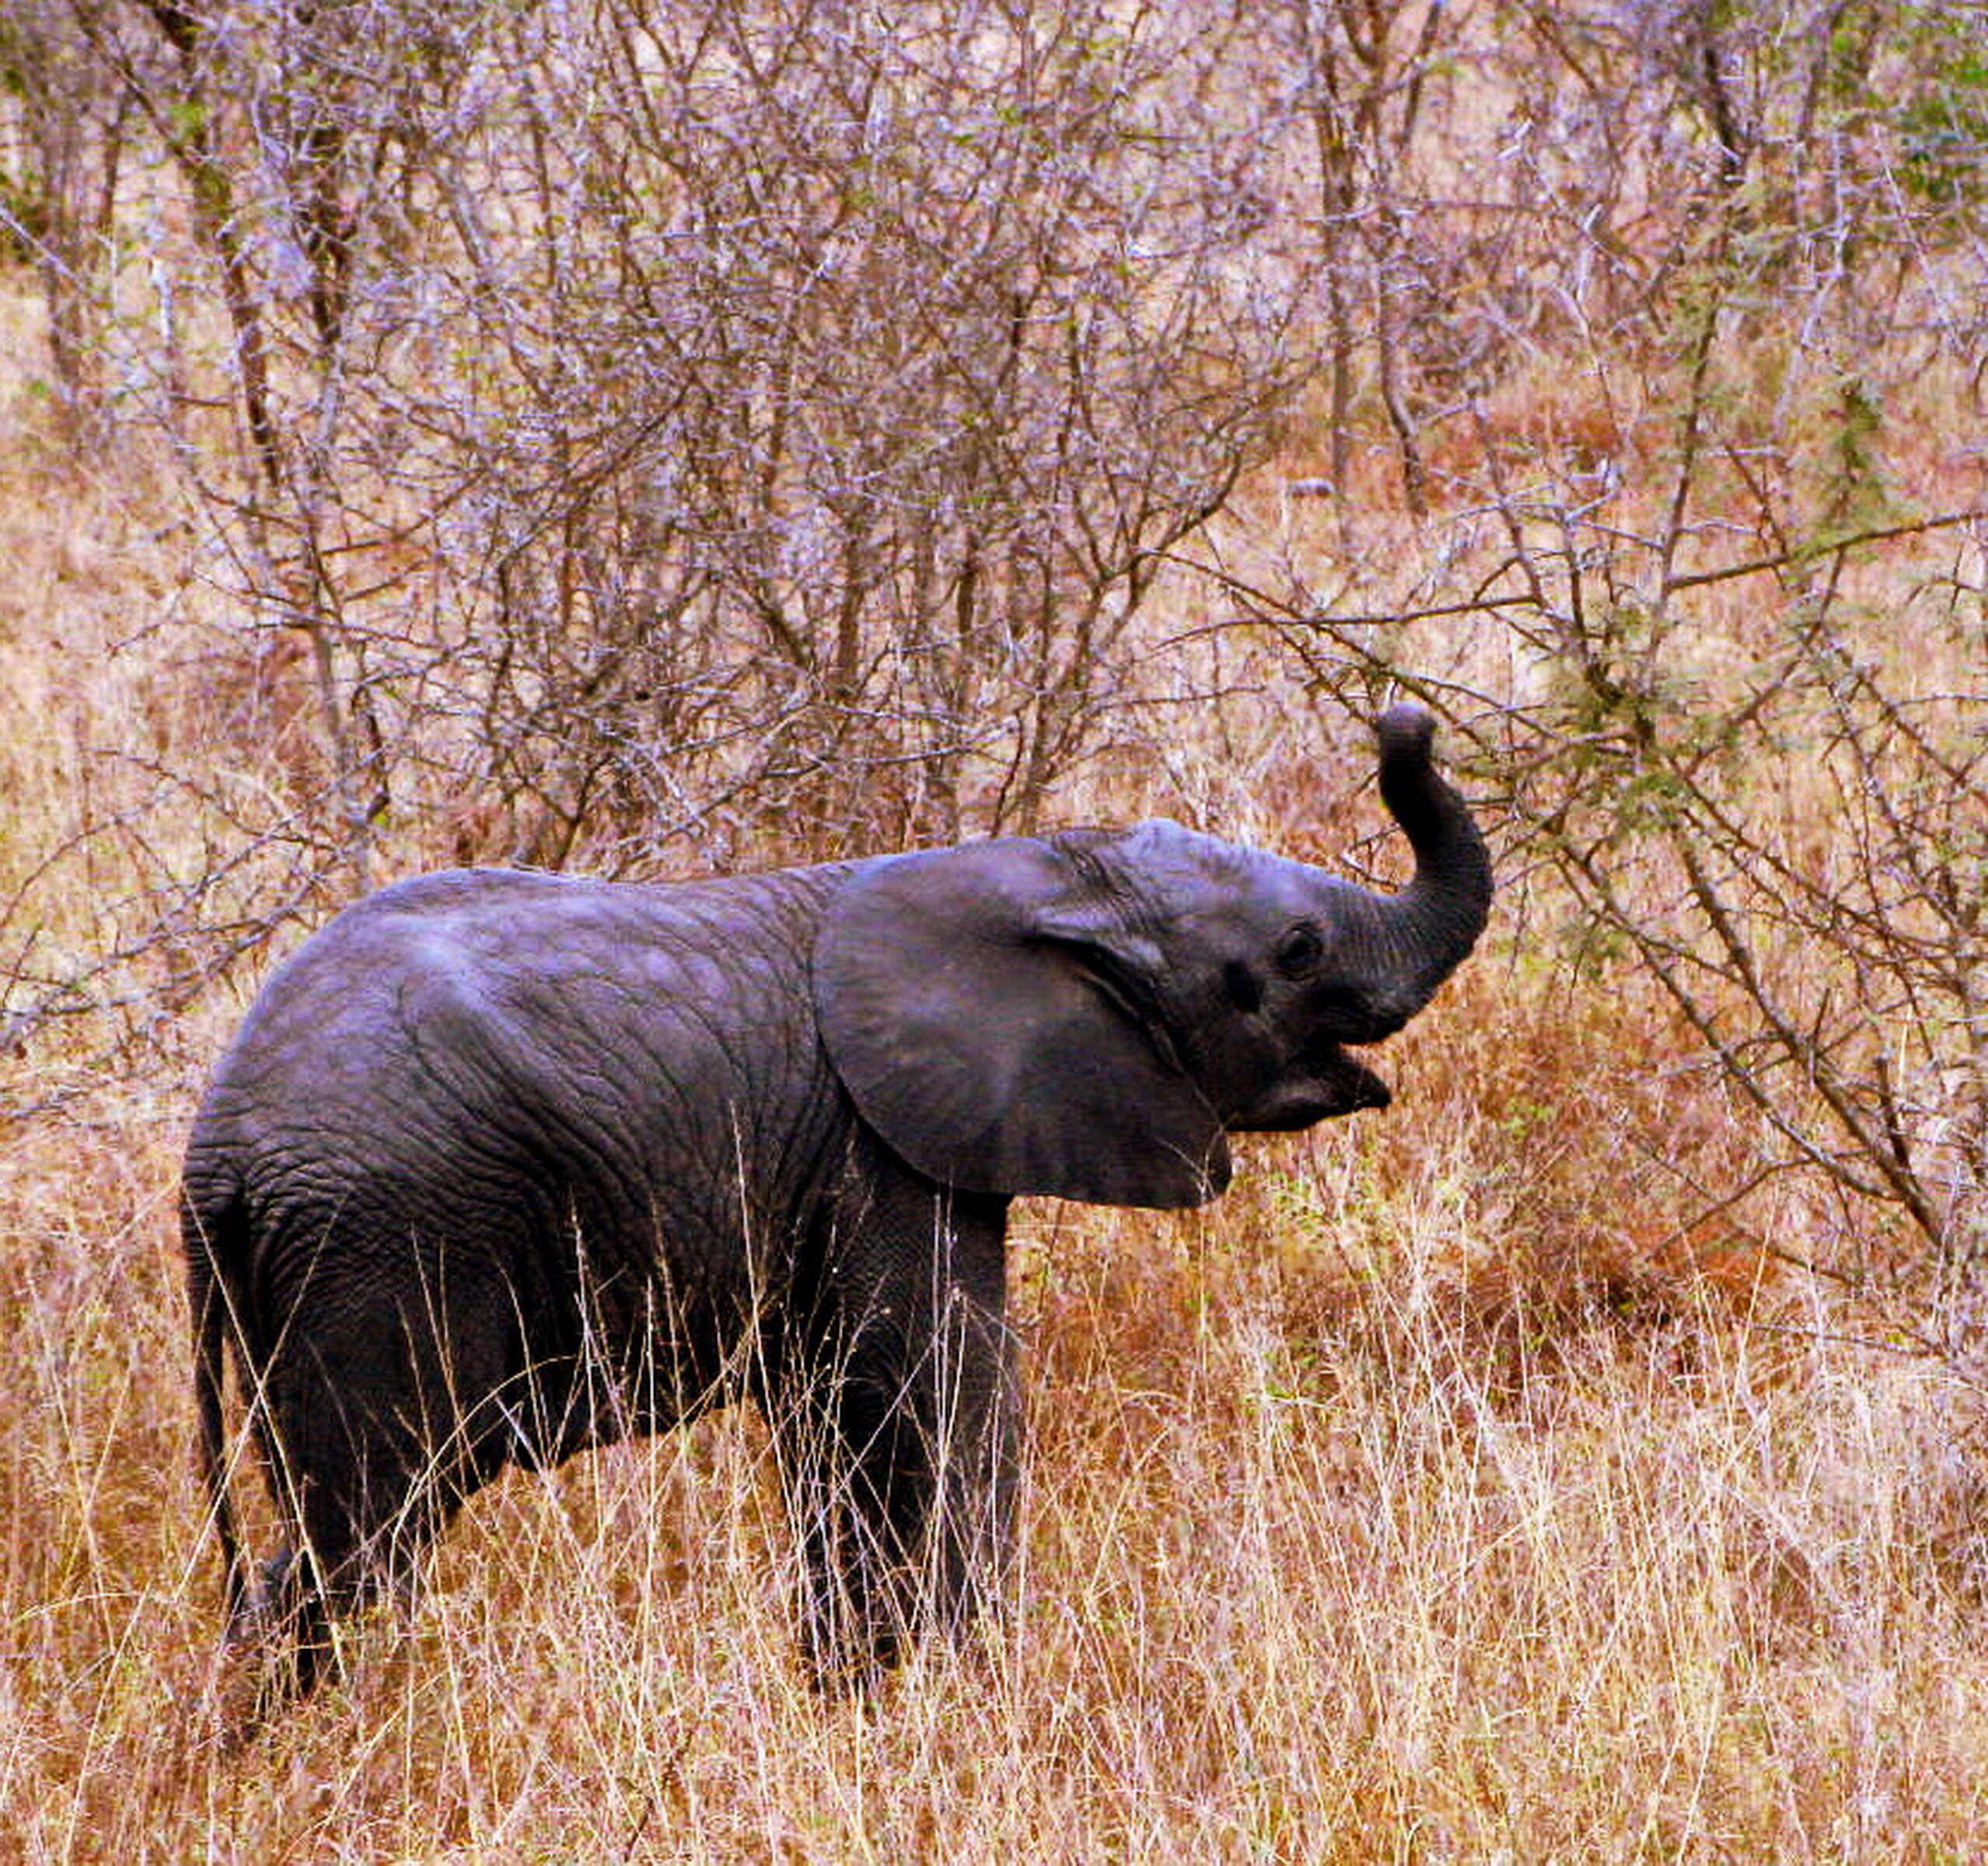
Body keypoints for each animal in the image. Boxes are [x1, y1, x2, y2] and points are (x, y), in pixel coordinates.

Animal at [183, 703, 1494, 1709]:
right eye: (1296, 950)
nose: (1402, 720)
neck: (1036, 869)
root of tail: (215, 1151)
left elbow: (838, 1425)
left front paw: (854, 1700)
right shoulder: (882, 1151)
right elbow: (939, 1395)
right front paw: (960, 1707)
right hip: (384, 1240)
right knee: (365, 1525)